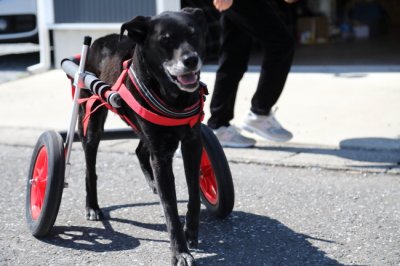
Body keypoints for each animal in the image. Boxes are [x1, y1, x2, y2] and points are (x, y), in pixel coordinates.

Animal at [80, 7, 208, 264]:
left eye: (194, 34)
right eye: (165, 40)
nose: (191, 60)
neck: (174, 97)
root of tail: (100, 40)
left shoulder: (192, 143)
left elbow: (193, 195)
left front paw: (191, 231)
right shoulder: (161, 157)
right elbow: (170, 209)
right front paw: (180, 252)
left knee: (140, 150)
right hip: (93, 123)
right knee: (90, 168)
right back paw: (92, 206)